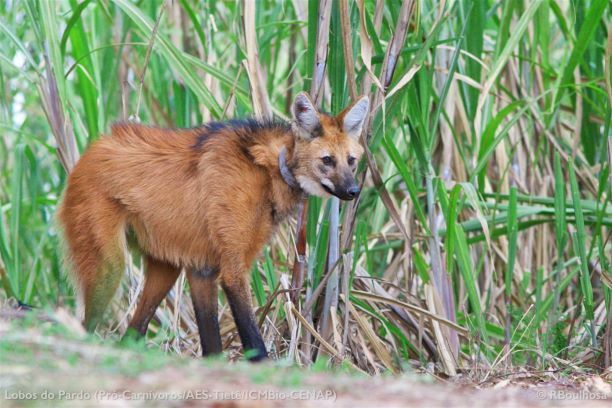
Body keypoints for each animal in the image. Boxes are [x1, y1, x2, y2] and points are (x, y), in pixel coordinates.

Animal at [58, 91, 368, 360]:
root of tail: (95, 147)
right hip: (109, 268)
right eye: (327, 160)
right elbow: (253, 343)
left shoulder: (202, 270)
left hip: (165, 270)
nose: (354, 191)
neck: (271, 169)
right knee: (87, 325)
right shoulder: (232, 270)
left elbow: (212, 349)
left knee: (132, 333)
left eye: (351, 161)